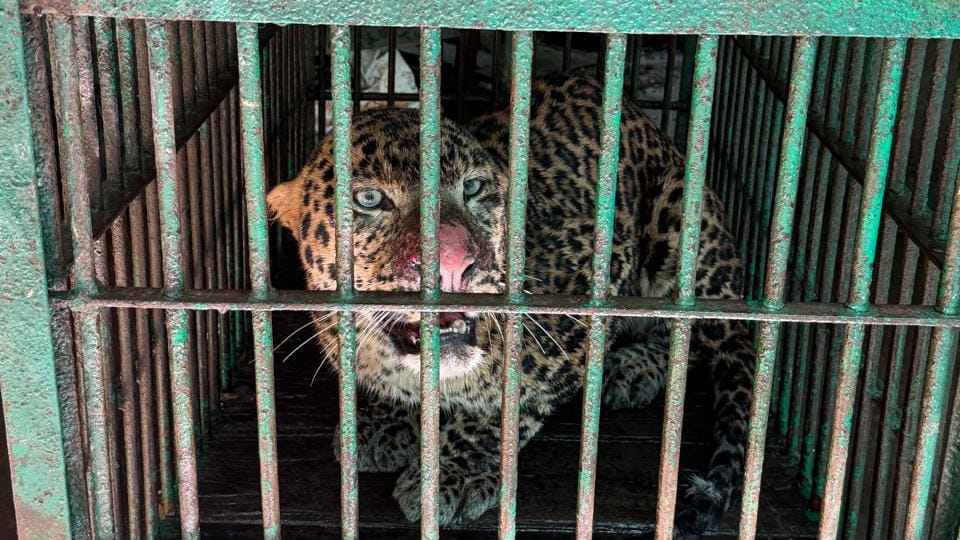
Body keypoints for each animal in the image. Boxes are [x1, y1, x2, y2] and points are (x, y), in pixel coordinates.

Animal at [266, 73, 755, 538]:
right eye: (368, 199)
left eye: (473, 187)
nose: (453, 260)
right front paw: (389, 419)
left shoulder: (600, 271)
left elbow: (514, 399)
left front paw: (455, 471)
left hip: (679, 221)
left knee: (697, 338)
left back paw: (631, 368)